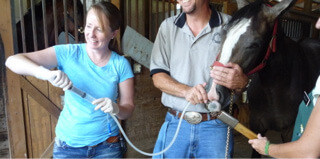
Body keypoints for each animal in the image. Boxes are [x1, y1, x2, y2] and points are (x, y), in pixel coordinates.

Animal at [210, 0, 320, 157]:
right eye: (223, 34)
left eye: (255, 44)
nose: (215, 93)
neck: (274, 88)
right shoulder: (257, 126)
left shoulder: (290, 132)